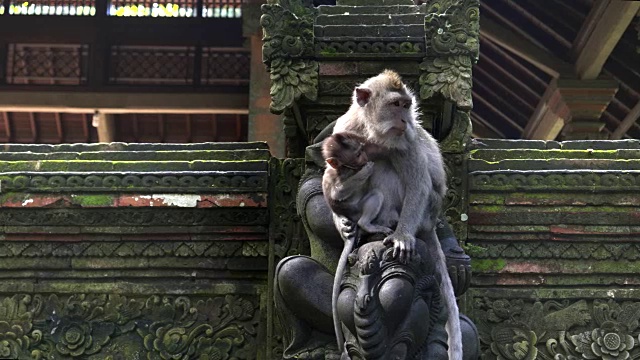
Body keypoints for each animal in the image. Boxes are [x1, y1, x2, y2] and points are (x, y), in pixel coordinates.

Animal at [332, 70, 462, 360]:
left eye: (406, 105)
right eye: (395, 105)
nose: (405, 120)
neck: (371, 133)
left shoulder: (407, 141)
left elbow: (418, 183)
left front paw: (402, 237)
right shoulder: (342, 129)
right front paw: (344, 226)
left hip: (426, 211)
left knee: (384, 167)